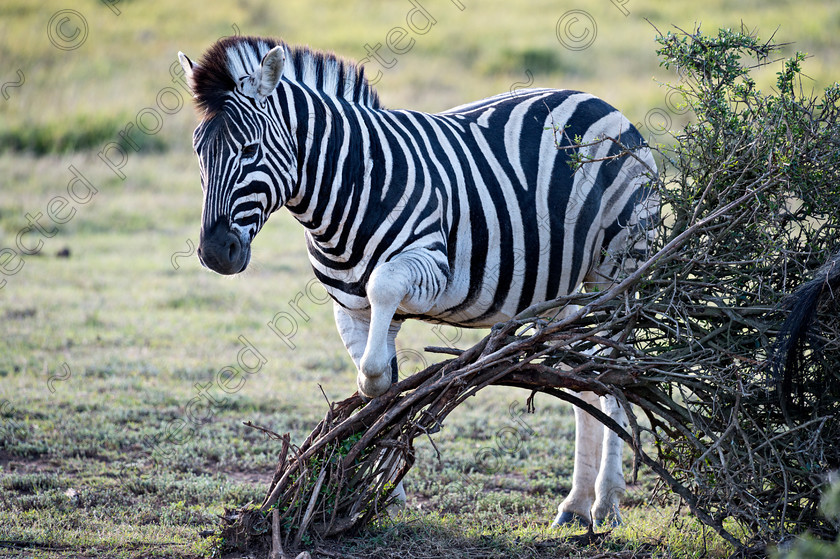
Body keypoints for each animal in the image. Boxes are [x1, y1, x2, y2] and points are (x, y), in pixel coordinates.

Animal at [179, 36, 656, 528]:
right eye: (198, 152)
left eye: (250, 149)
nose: (215, 252)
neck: (350, 186)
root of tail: (597, 100)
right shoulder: (349, 307)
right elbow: (377, 383)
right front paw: (376, 490)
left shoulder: (428, 265)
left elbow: (376, 354)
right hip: (565, 287)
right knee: (585, 373)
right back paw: (576, 505)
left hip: (619, 266)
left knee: (614, 372)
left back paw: (607, 502)